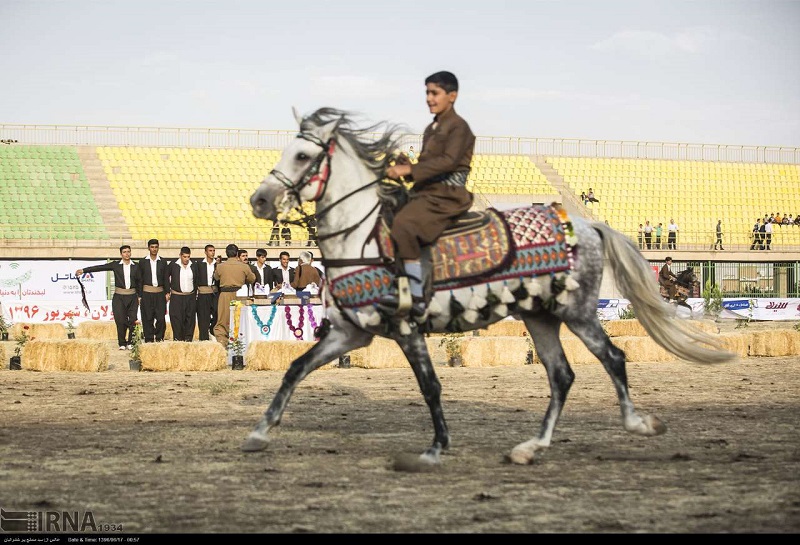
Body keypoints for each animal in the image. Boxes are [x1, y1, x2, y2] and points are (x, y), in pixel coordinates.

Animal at [247, 108, 736, 466]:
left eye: (302, 156)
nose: (259, 200)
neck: (363, 237)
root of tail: (587, 224)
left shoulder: (405, 329)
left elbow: (430, 387)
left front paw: (435, 448)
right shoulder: (352, 332)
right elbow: (295, 368)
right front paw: (259, 432)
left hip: (576, 313)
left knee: (613, 358)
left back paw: (638, 425)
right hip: (540, 316)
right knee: (562, 375)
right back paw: (531, 447)